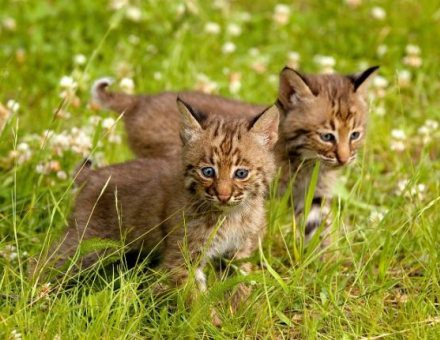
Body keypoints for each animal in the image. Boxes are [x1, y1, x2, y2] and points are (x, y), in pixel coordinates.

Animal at [36, 97, 280, 318]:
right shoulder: (182, 257)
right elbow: (195, 296)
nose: (223, 195)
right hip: (86, 241)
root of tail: (93, 174)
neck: (231, 214)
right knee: (43, 262)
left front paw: (246, 316)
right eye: (208, 171)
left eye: (241, 173)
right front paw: (210, 323)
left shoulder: (236, 252)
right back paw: (35, 298)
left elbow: (239, 285)